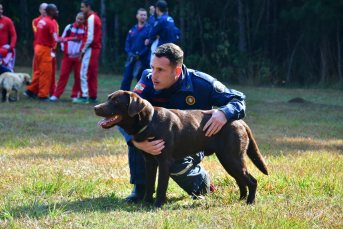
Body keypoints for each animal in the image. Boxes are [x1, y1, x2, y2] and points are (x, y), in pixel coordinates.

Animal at [95, 91, 270, 208]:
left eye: (116, 101)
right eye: (108, 98)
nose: (96, 107)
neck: (150, 122)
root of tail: (240, 121)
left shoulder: (165, 161)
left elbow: (161, 186)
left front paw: (157, 206)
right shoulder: (150, 162)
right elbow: (150, 185)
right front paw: (146, 203)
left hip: (232, 159)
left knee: (252, 180)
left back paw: (250, 202)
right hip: (228, 160)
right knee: (241, 181)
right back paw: (240, 199)